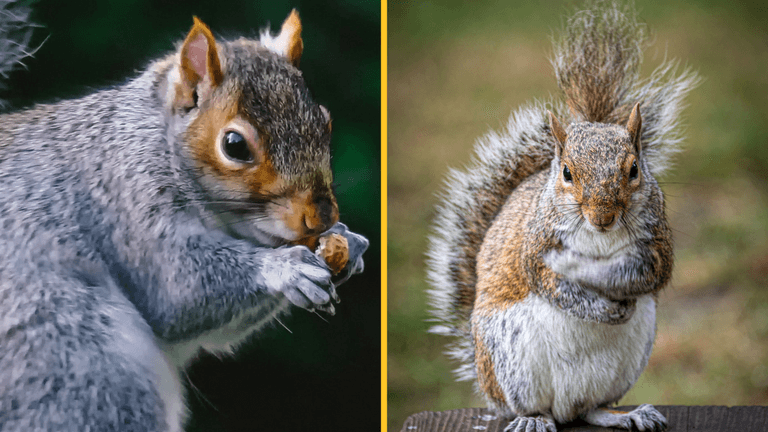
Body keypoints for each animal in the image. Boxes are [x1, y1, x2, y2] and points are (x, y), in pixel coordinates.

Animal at [0, 7, 368, 432]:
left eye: (325, 121)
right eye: (234, 145)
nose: (322, 217)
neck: (157, 140)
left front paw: (348, 242)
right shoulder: (124, 200)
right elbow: (177, 294)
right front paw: (286, 269)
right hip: (79, 367)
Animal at [426, 2, 699, 431]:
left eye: (634, 169)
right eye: (567, 173)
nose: (602, 217)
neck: (599, 238)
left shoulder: (657, 246)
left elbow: (647, 273)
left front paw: (588, 271)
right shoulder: (535, 246)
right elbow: (552, 283)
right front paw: (587, 287)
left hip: (627, 359)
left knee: (592, 408)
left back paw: (626, 414)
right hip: (510, 359)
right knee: (533, 406)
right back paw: (534, 420)